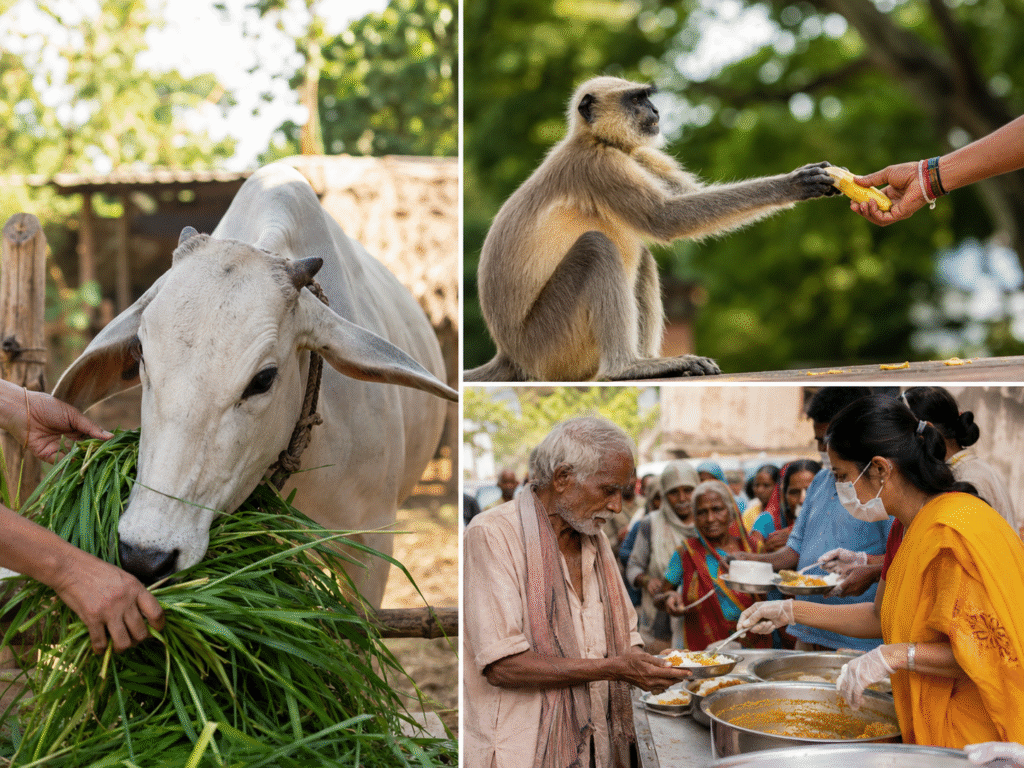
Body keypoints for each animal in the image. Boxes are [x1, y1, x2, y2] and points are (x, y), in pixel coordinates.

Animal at [465, 76, 841, 382]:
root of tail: (510, 354)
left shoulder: (639, 156)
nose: (655, 109)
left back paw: (649, 362)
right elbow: (665, 218)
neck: (600, 141)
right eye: (636, 100)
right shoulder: (599, 165)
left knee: (640, 256)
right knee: (596, 247)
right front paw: (794, 184)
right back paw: (627, 368)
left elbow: (684, 199)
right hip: (548, 343)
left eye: (646, 98)